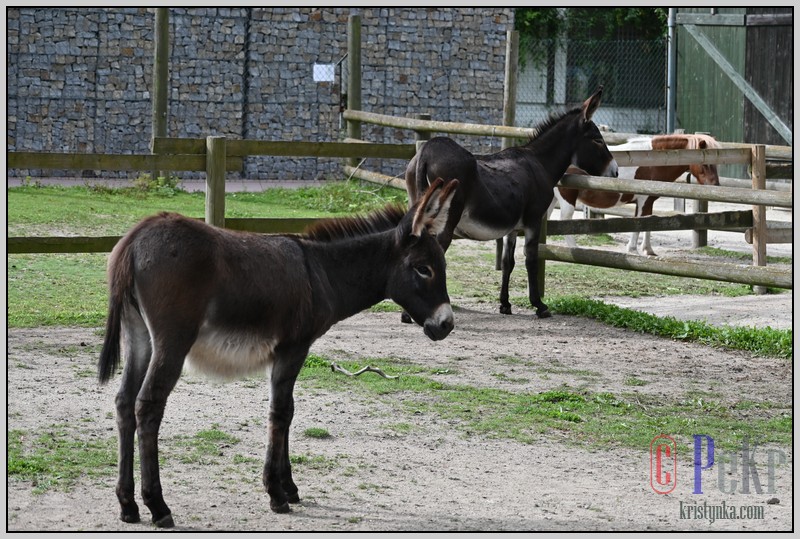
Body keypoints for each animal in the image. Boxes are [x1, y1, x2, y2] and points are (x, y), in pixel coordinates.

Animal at [100, 179, 460, 524]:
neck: (322, 273)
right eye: (424, 269)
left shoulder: (287, 352)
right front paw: (276, 494)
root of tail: (136, 237)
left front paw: (289, 487)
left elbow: (288, 410)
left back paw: (128, 505)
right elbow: (282, 411)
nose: (446, 325)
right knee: (148, 405)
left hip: (139, 336)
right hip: (172, 340)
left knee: (124, 402)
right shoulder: (294, 347)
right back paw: (158, 506)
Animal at [552, 133, 720, 255]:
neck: (653, 161)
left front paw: (648, 250)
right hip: (567, 200)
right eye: (705, 163)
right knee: (564, 222)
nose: (715, 186)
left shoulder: (649, 202)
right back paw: (575, 249)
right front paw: (633, 249)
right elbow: (638, 223)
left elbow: (648, 223)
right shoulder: (643, 201)